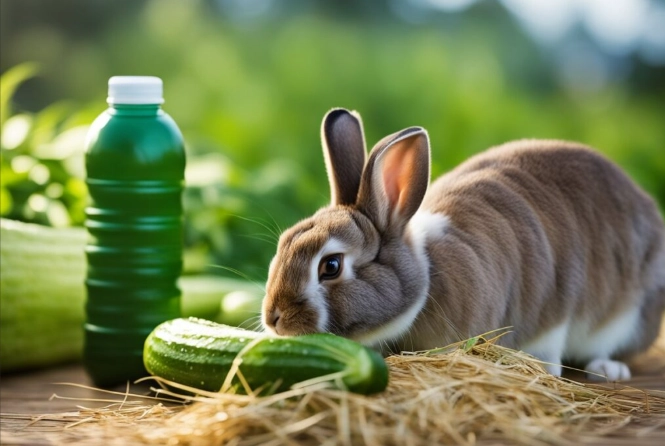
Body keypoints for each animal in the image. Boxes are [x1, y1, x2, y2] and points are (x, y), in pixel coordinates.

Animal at [261, 108, 665, 381]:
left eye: (330, 266)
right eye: (282, 244)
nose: (273, 318)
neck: (426, 278)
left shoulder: (551, 309)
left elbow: (548, 343)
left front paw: (546, 371)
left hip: (628, 314)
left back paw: (607, 368)